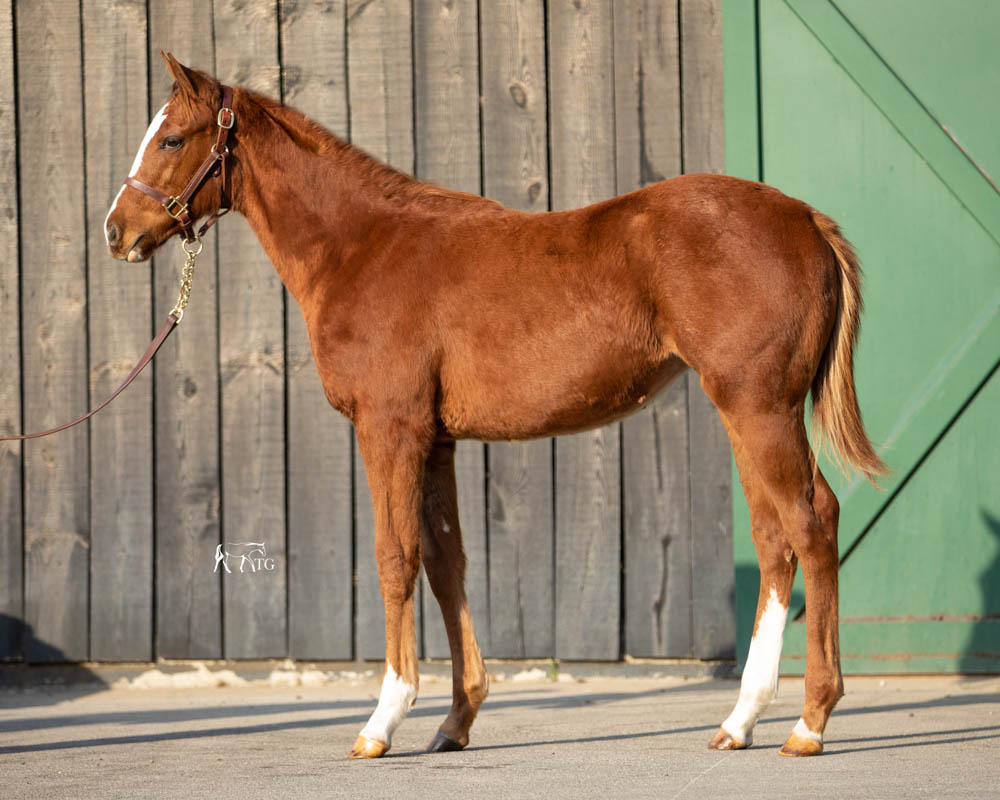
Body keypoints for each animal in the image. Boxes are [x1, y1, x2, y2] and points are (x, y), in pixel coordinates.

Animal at [105, 53, 887, 759]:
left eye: (172, 139)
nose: (117, 231)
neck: (362, 246)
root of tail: (806, 219)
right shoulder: (437, 440)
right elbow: (446, 562)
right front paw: (456, 721)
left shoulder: (389, 428)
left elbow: (396, 557)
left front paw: (382, 722)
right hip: (747, 412)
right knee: (774, 537)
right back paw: (740, 721)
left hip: (760, 407)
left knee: (812, 523)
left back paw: (809, 723)